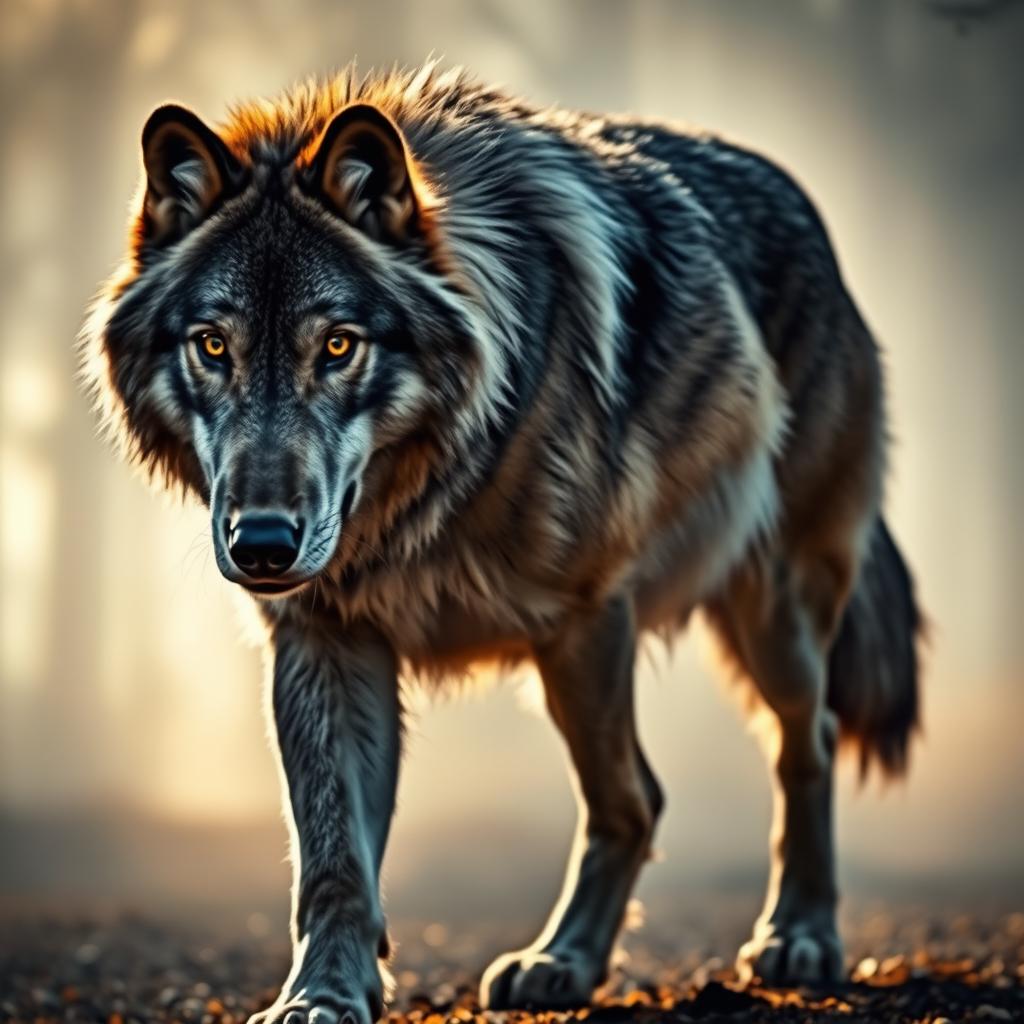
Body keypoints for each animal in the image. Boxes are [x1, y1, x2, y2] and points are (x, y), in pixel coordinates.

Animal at [82, 62, 922, 1024]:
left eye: (338, 345)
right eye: (214, 345)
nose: (262, 546)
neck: (423, 503)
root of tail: (811, 219)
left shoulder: (588, 618)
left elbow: (621, 801)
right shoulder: (323, 639)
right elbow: (333, 858)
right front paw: (322, 995)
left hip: (754, 615)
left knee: (780, 751)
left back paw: (768, 939)